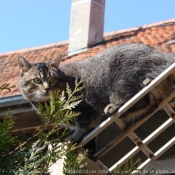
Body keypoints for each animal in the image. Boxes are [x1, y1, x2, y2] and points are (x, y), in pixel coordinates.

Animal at [17, 42, 175, 144]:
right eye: (37, 80)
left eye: (52, 79)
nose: (47, 88)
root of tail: (164, 55)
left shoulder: (85, 108)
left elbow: (82, 125)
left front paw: (74, 136)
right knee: (148, 103)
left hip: (121, 80)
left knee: (140, 99)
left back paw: (113, 106)